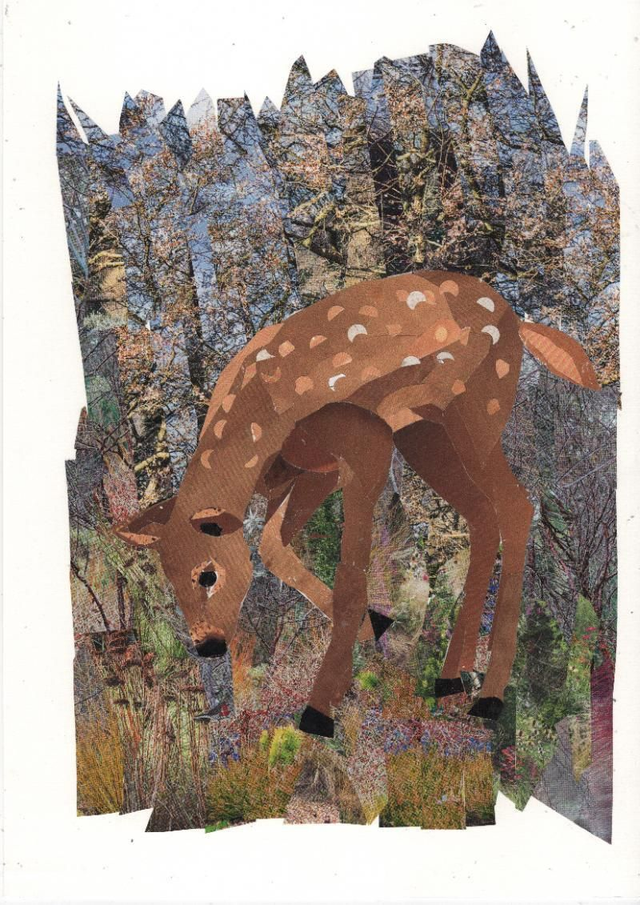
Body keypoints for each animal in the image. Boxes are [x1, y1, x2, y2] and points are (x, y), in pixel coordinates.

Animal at [115, 271, 601, 736]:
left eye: (208, 574)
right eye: (170, 580)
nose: (208, 645)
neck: (259, 423)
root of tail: (518, 322)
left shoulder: (364, 444)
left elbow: (350, 574)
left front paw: (319, 708)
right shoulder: (312, 470)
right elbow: (271, 546)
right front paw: (373, 628)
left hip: (475, 414)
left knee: (517, 505)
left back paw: (490, 696)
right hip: (425, 434)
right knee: (482, 515)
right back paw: (451, 677)